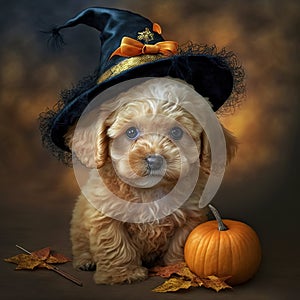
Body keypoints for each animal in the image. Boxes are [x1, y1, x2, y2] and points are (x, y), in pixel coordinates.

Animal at [64, 77, 238, 284]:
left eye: (177, 132)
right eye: (131, 132)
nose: (154, 160)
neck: (150, 191)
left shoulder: (190, 217)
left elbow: (180, 243)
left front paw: (178, 268)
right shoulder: (106, 215)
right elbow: (115, 245)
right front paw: (122, 275)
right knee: (80, 243)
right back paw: (85, 261)